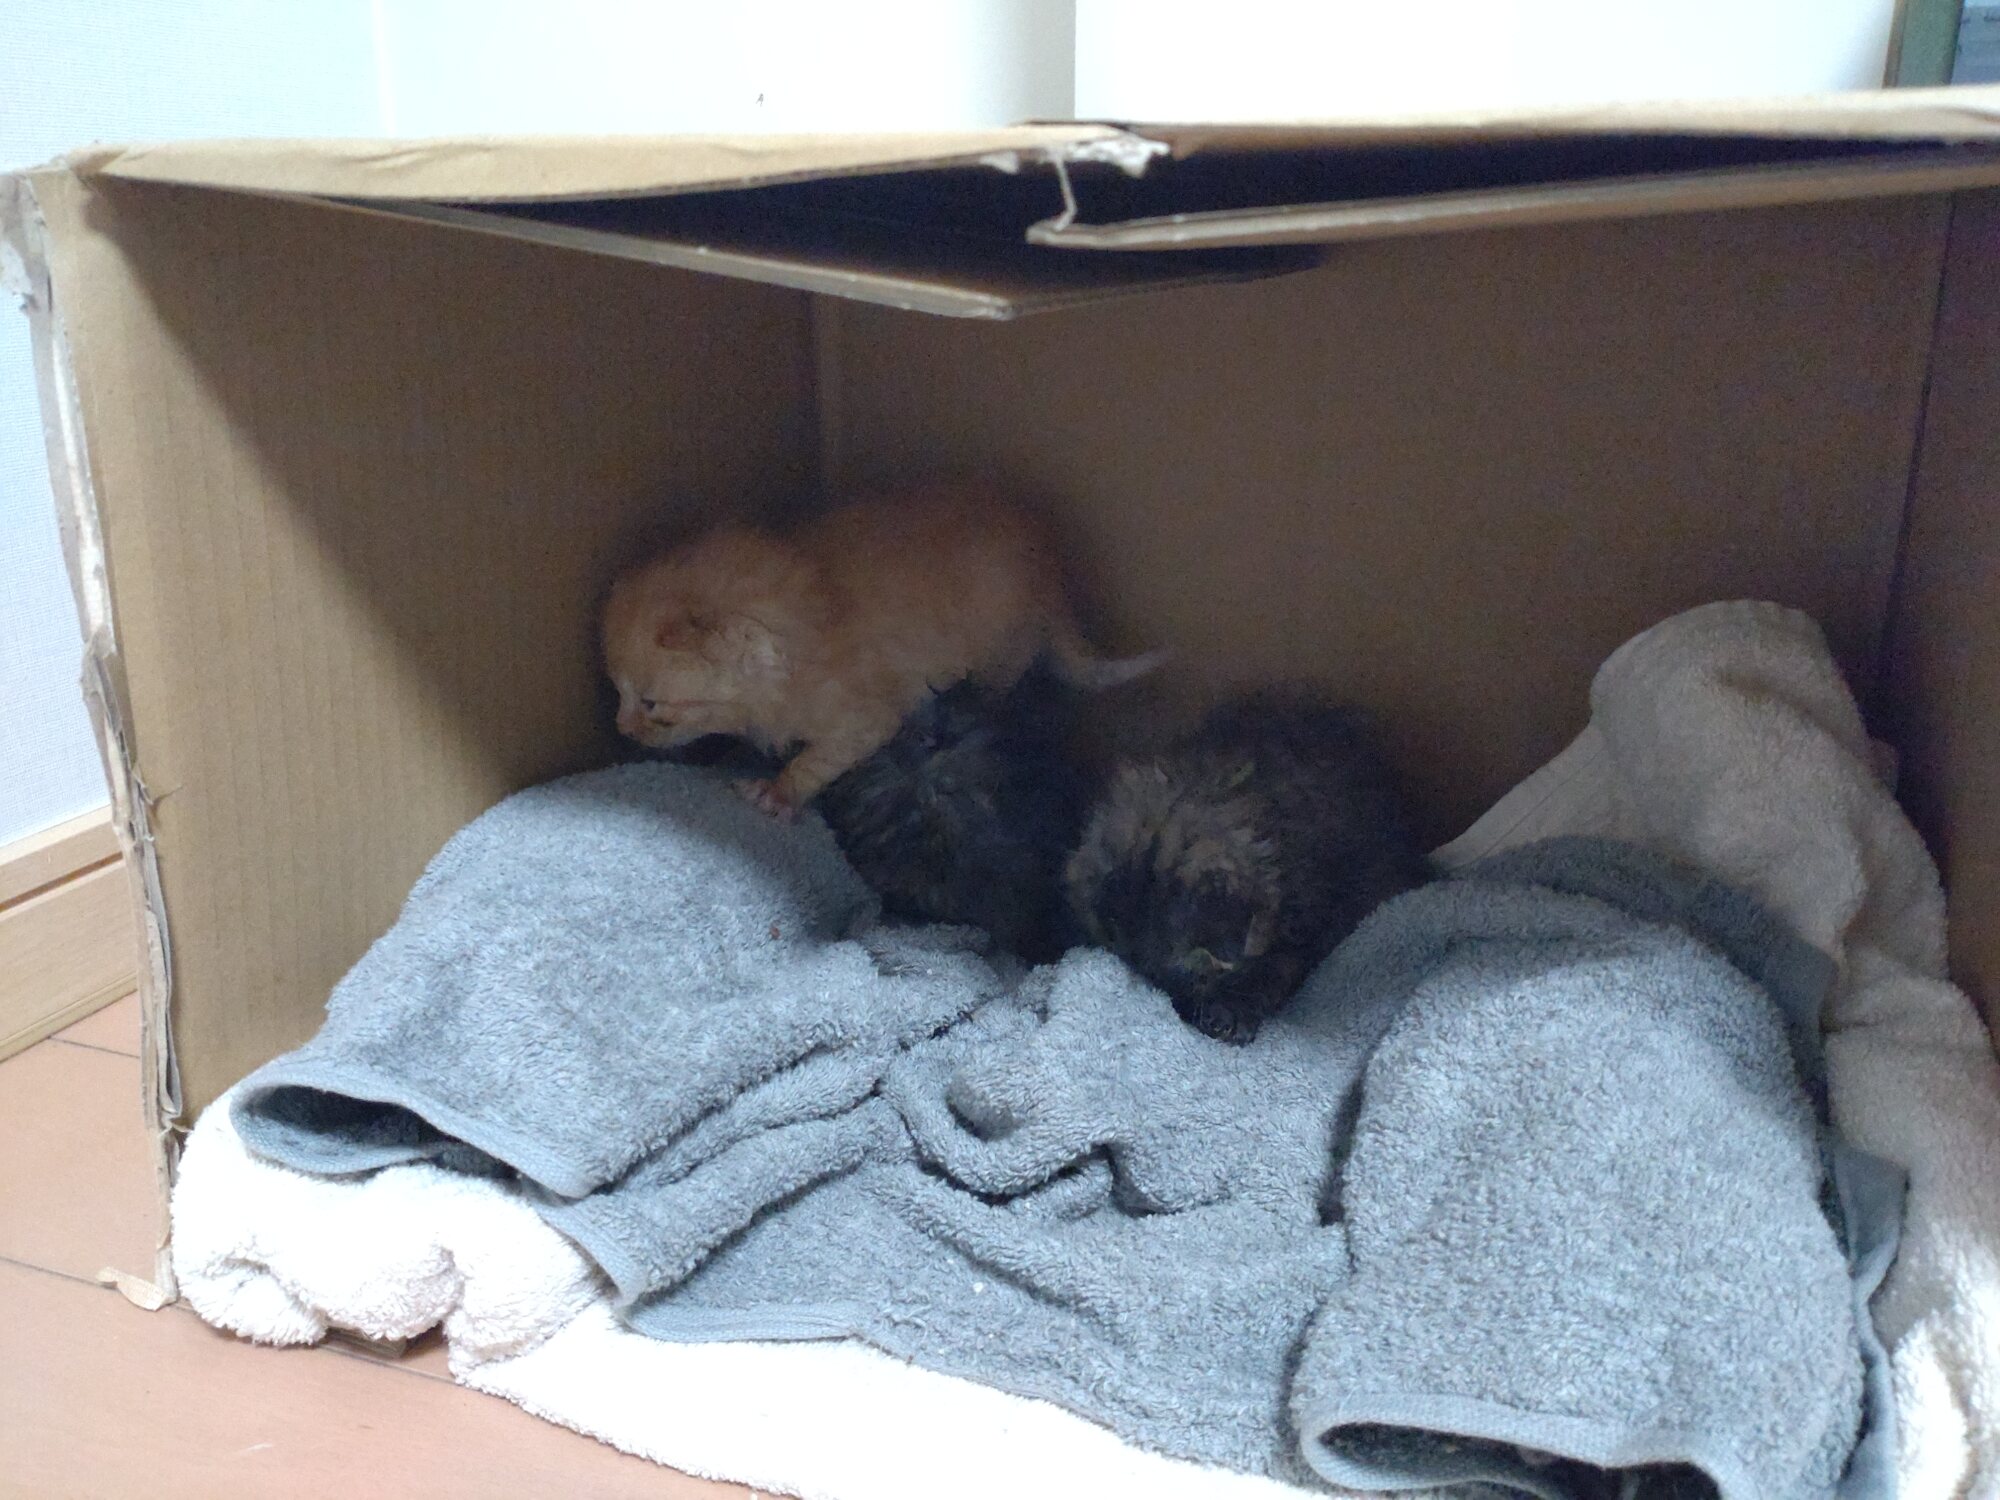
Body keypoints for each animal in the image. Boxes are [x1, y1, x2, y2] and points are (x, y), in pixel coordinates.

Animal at [603, 479, 1160, 818]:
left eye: (651, 705)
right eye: (617, 693)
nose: (621, 730)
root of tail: (1053, 573)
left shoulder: (865, 720)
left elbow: (818, 759)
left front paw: (779, 791)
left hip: (1003, 654)